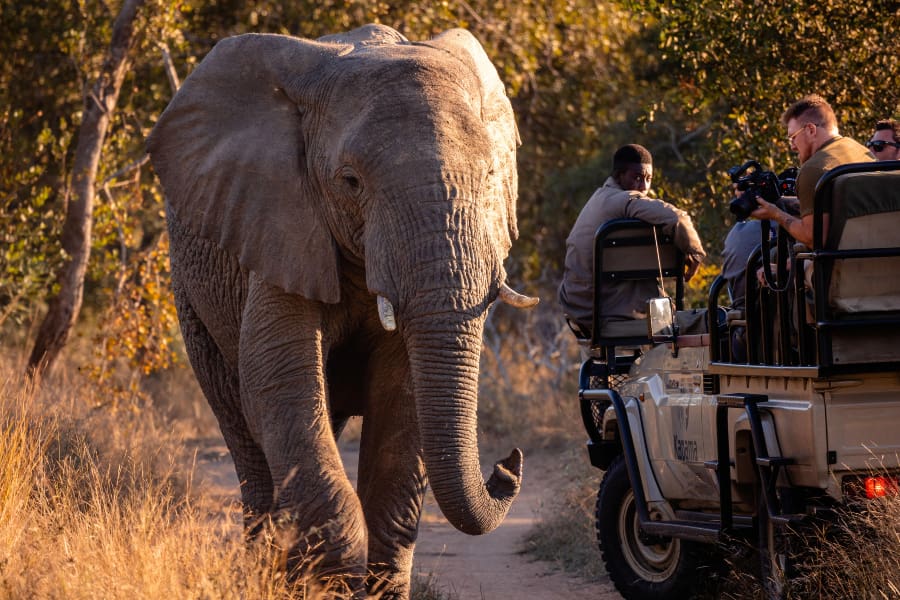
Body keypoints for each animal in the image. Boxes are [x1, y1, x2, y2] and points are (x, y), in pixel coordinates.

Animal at [146, 24, 538, 598]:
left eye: (491, 174)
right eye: (350, 182)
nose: (508, 465)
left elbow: (403, 400)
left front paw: (371, 588)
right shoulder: (279, 225)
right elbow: (279, 384)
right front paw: (334, 582)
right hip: (192, 295)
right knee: (242, 425)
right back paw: (271, 573)